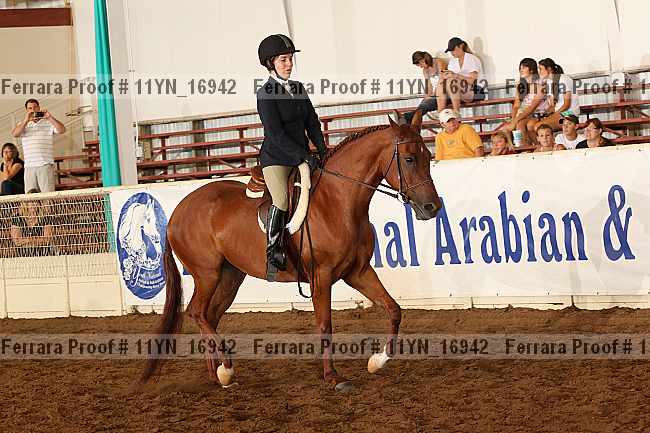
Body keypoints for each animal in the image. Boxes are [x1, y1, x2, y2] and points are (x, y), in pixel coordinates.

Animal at [141, 111, 442, 391]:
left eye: (428, 156)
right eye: (409, 159)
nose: (432, 207)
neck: (339, 202)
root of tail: (177, 211)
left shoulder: (358, 272)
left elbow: (394, 309)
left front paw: (377, 361)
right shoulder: (321, 276)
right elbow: (325, 325)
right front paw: (333, 376)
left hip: (230, 276)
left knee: (209, 316)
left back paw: (217, 375)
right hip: (207, 274)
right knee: (197, 312)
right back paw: (225, 369)